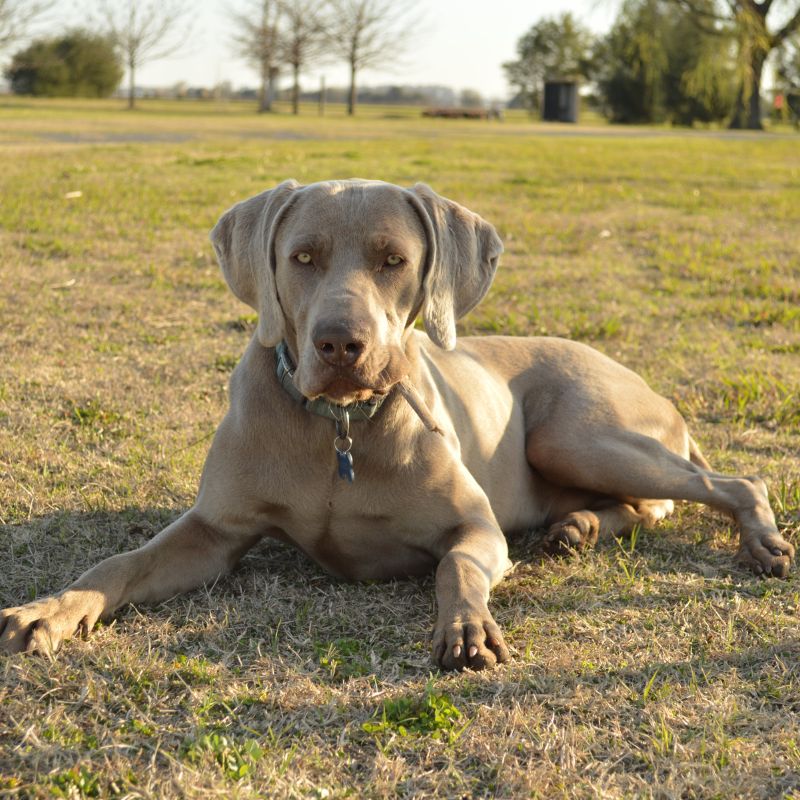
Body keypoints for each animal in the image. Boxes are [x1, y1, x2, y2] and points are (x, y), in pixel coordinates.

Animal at [1, 180, 792, 668]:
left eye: (394, 261)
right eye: (302, 257)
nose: (339, 345)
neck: (338, 426)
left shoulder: (475, 528)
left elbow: (455, 567)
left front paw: (467, 628)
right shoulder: (213, 532)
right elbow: (118, 565)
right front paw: (49, 611)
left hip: (575, 433)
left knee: (729, 482)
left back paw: (760, 542)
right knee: (643, 505)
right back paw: (579, 529)